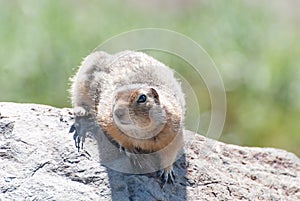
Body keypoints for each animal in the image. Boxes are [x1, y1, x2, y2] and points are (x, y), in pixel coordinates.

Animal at [69, 50, 185, 184]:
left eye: (142, 98)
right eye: (114, 98)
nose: (117, 112)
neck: (140, 132)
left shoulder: (174, 131)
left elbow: (170, 154)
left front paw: (167, 173)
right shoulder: (107, 120)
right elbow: (120, 138)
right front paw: (133, 154)